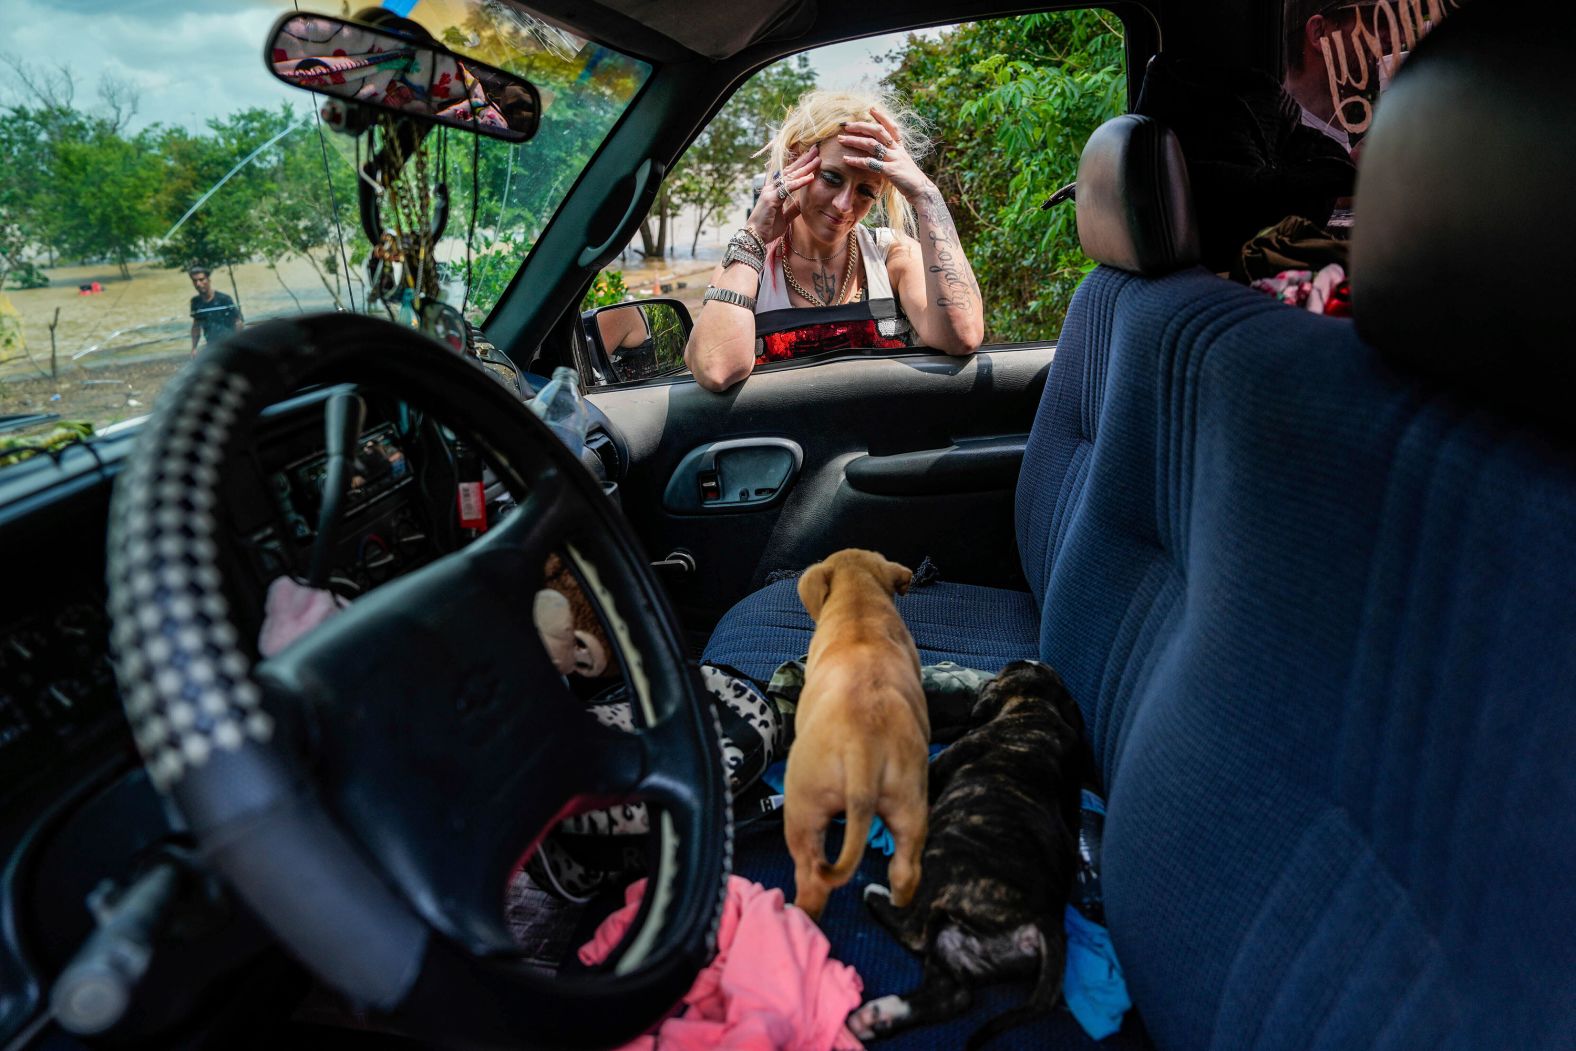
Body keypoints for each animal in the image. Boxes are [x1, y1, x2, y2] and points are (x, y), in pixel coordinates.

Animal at [784, 551, 926, 920]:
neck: (859, 603)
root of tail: (864, 748)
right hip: (909, 803)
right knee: (906, 871)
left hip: (802, 809)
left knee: (811, 876)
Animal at [851, 661, 1084, 1046]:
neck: (1037, 704)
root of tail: (1045, 920)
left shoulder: (942, 764)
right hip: (957, 945)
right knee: (953, 995)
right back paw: (877, 1016)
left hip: (942, 862)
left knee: (914, 930)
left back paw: (876, 895)